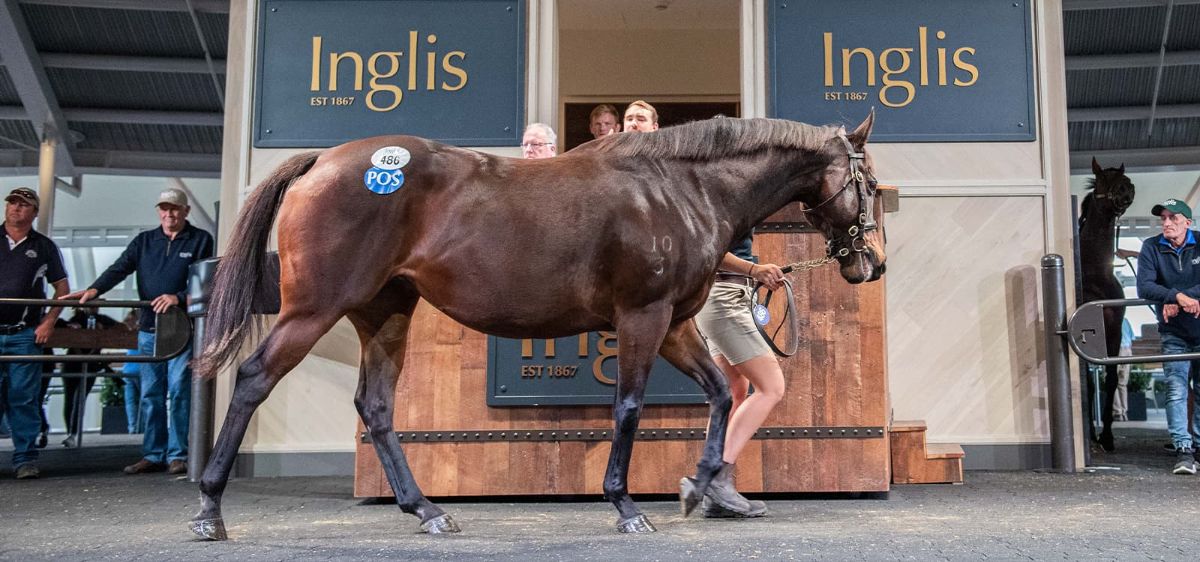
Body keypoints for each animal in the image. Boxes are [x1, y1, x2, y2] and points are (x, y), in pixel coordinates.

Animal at [190, 113, 886, 540]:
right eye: (870, 182)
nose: (871, 262)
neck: (679, 188)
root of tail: (320, 163)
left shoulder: (673, 324)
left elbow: (718, 394)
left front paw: (699, 486)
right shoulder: (643, 316)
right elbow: (628, 407)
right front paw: (626, 506)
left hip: (384, 311)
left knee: (377, 407)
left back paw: (427, 510)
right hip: (314, 309)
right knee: (253, 379)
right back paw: (208, 508)